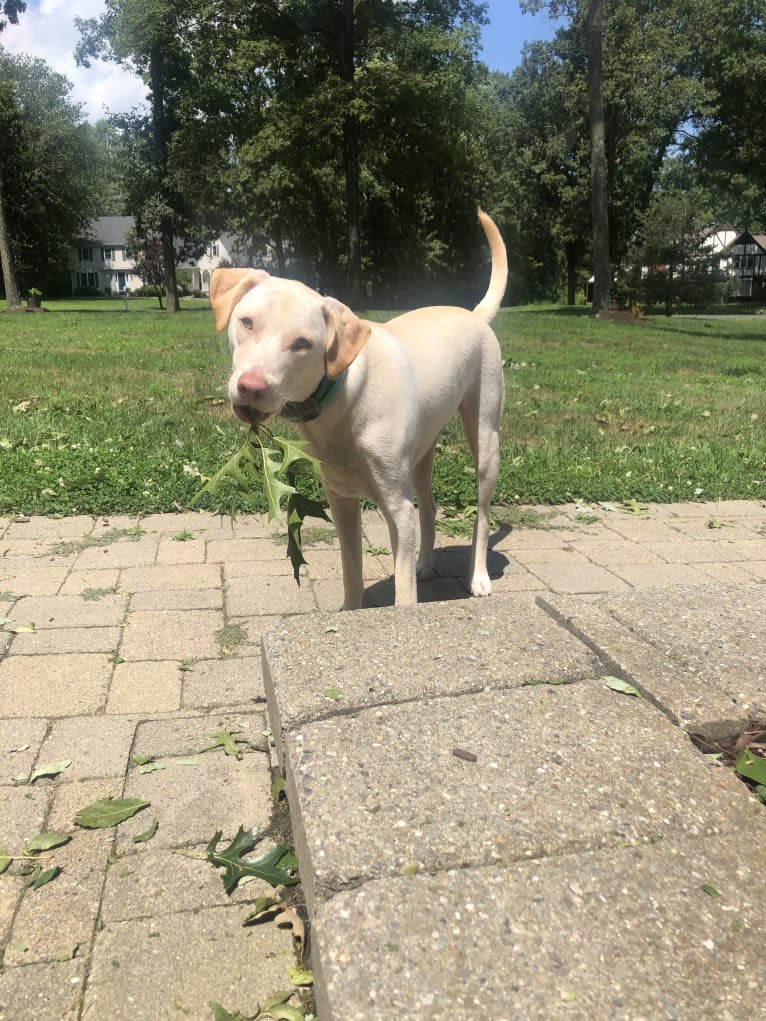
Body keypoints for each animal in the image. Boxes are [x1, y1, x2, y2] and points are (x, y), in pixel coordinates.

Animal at [211, 207, 510, 604]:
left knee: (482, 513)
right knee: (429, 507)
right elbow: (352, 574)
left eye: (302, 344)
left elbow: (404, 595)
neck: (340, 401)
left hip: (485, 437)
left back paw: (478, 578)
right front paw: (351, 609)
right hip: (422, 452)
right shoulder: (341, 502)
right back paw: (426, 564)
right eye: (246, 322)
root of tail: (475, 315)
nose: (251, 387)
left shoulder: (398, 510)